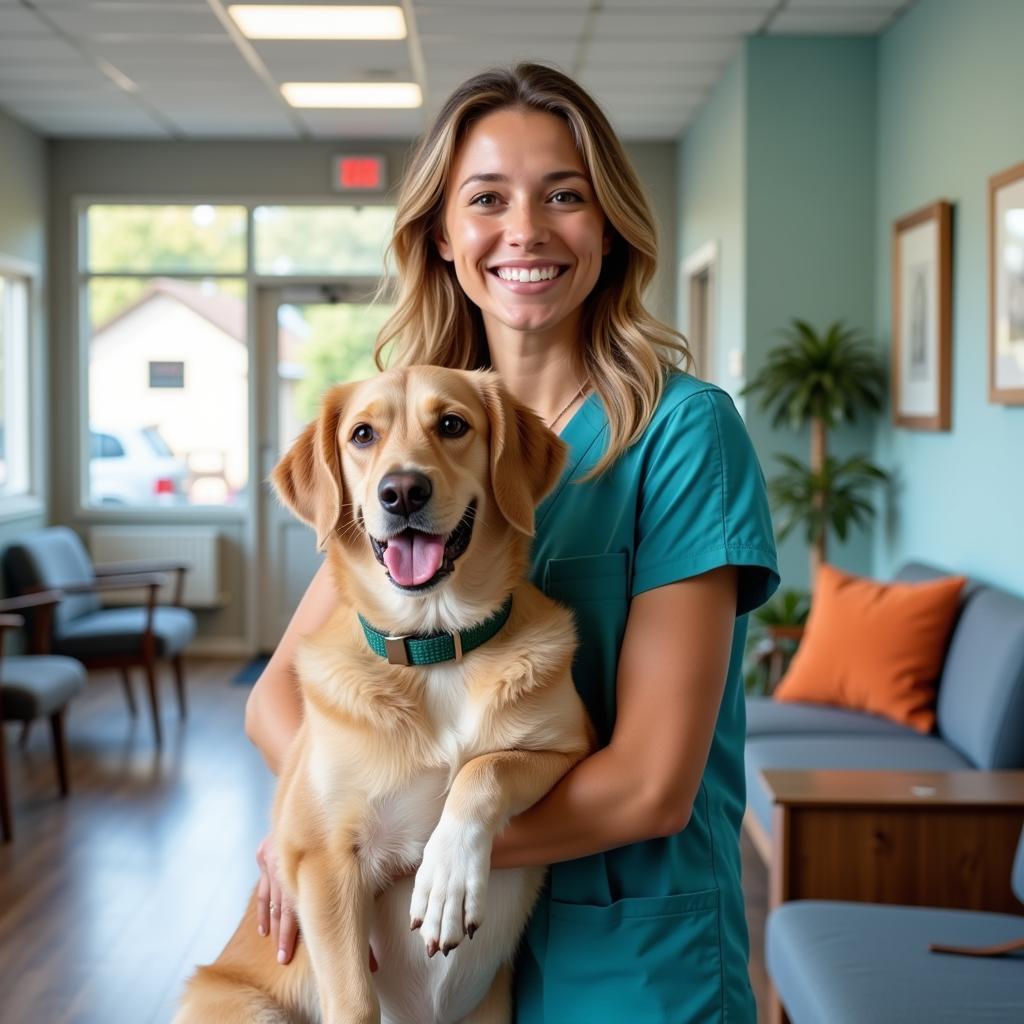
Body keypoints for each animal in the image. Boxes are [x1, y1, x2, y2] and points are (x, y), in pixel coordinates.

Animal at [174, 368, 593, 1024]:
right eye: (362, 434)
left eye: (452, 424)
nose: (403, 492)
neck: (434, 648)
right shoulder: (320, 858)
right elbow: (354, 1004)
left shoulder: (569, 750)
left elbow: (484, 769)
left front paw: (447, 875)